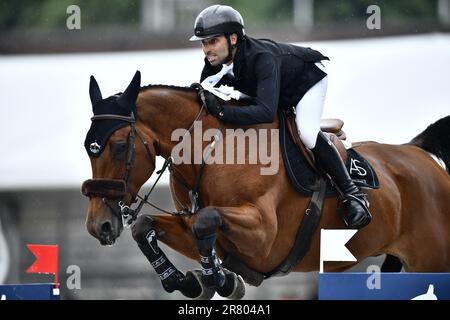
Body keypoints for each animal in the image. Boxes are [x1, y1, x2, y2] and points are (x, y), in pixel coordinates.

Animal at [81, 71, 450, 298]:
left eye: (119, 146)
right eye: (88, 147)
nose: (99, 226)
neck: (212, 151)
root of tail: (417, 151)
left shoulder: (263, 236)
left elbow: (206, 219)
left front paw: (221, 281)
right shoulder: (200, 232)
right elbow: (145, 226)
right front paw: (190, 282)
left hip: (432, 260)